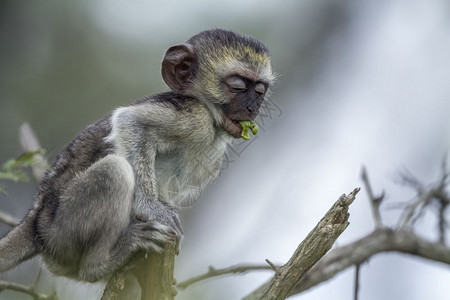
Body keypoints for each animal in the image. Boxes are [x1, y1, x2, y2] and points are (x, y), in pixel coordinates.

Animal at [0, 28, 274, 282]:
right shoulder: (194, 117)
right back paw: (99, 264)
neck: (213, 124)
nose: (251, 107)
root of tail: (36, 221)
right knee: (114, 171)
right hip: (61, 234)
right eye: (238, 86)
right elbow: (130, 121)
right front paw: (153, 210)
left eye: (260, 91)